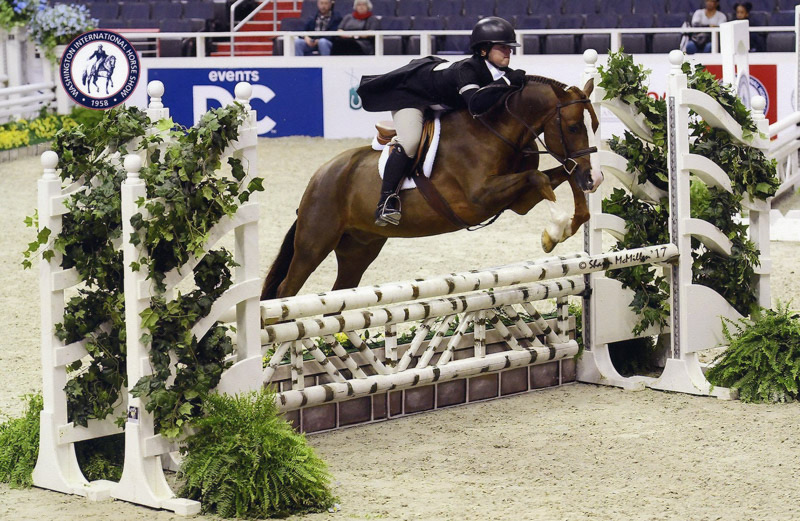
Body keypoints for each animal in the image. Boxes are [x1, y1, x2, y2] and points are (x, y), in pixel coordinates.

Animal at [262, 75, 600, 298]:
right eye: (573, 127)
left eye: (595, 125)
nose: (594, 179)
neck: (496, 131)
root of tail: (320, 176)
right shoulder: (478, 199)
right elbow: (539, 178)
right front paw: (554, 231)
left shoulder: (519, 201)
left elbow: (558, 176)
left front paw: (570, 225)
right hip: (314, 243)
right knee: (286, 290)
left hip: (359, 247)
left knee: (340, 293)